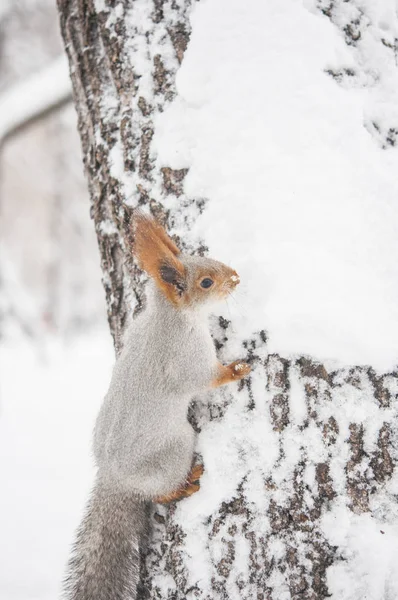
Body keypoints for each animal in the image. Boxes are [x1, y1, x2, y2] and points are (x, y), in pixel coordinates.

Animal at [63, 212, 250, 600]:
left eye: (206, 258)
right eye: (206, 282)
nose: (237, 277)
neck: (170, 317)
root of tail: (115, 479)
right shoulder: (186, 357)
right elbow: (205, 378)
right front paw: (237, 369)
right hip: (174, 448)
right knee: (161, 493)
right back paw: (184, 484)